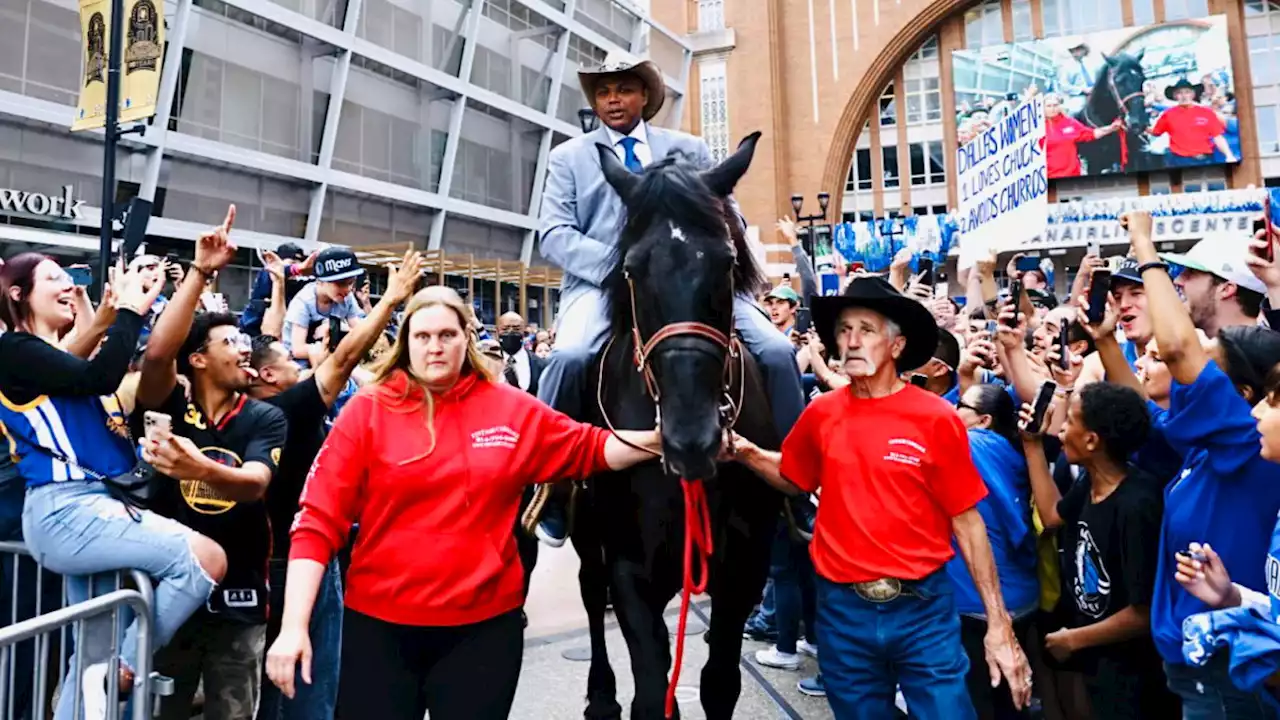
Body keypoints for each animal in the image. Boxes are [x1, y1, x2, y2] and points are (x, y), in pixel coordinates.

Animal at [570, 131, 778, 712]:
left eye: (727, 263)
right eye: (631, 270)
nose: (692, 441)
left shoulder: (744, 568)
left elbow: (719, 683)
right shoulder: (631, 570)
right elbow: (650, 692)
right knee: (590, 592)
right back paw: (600, 693)